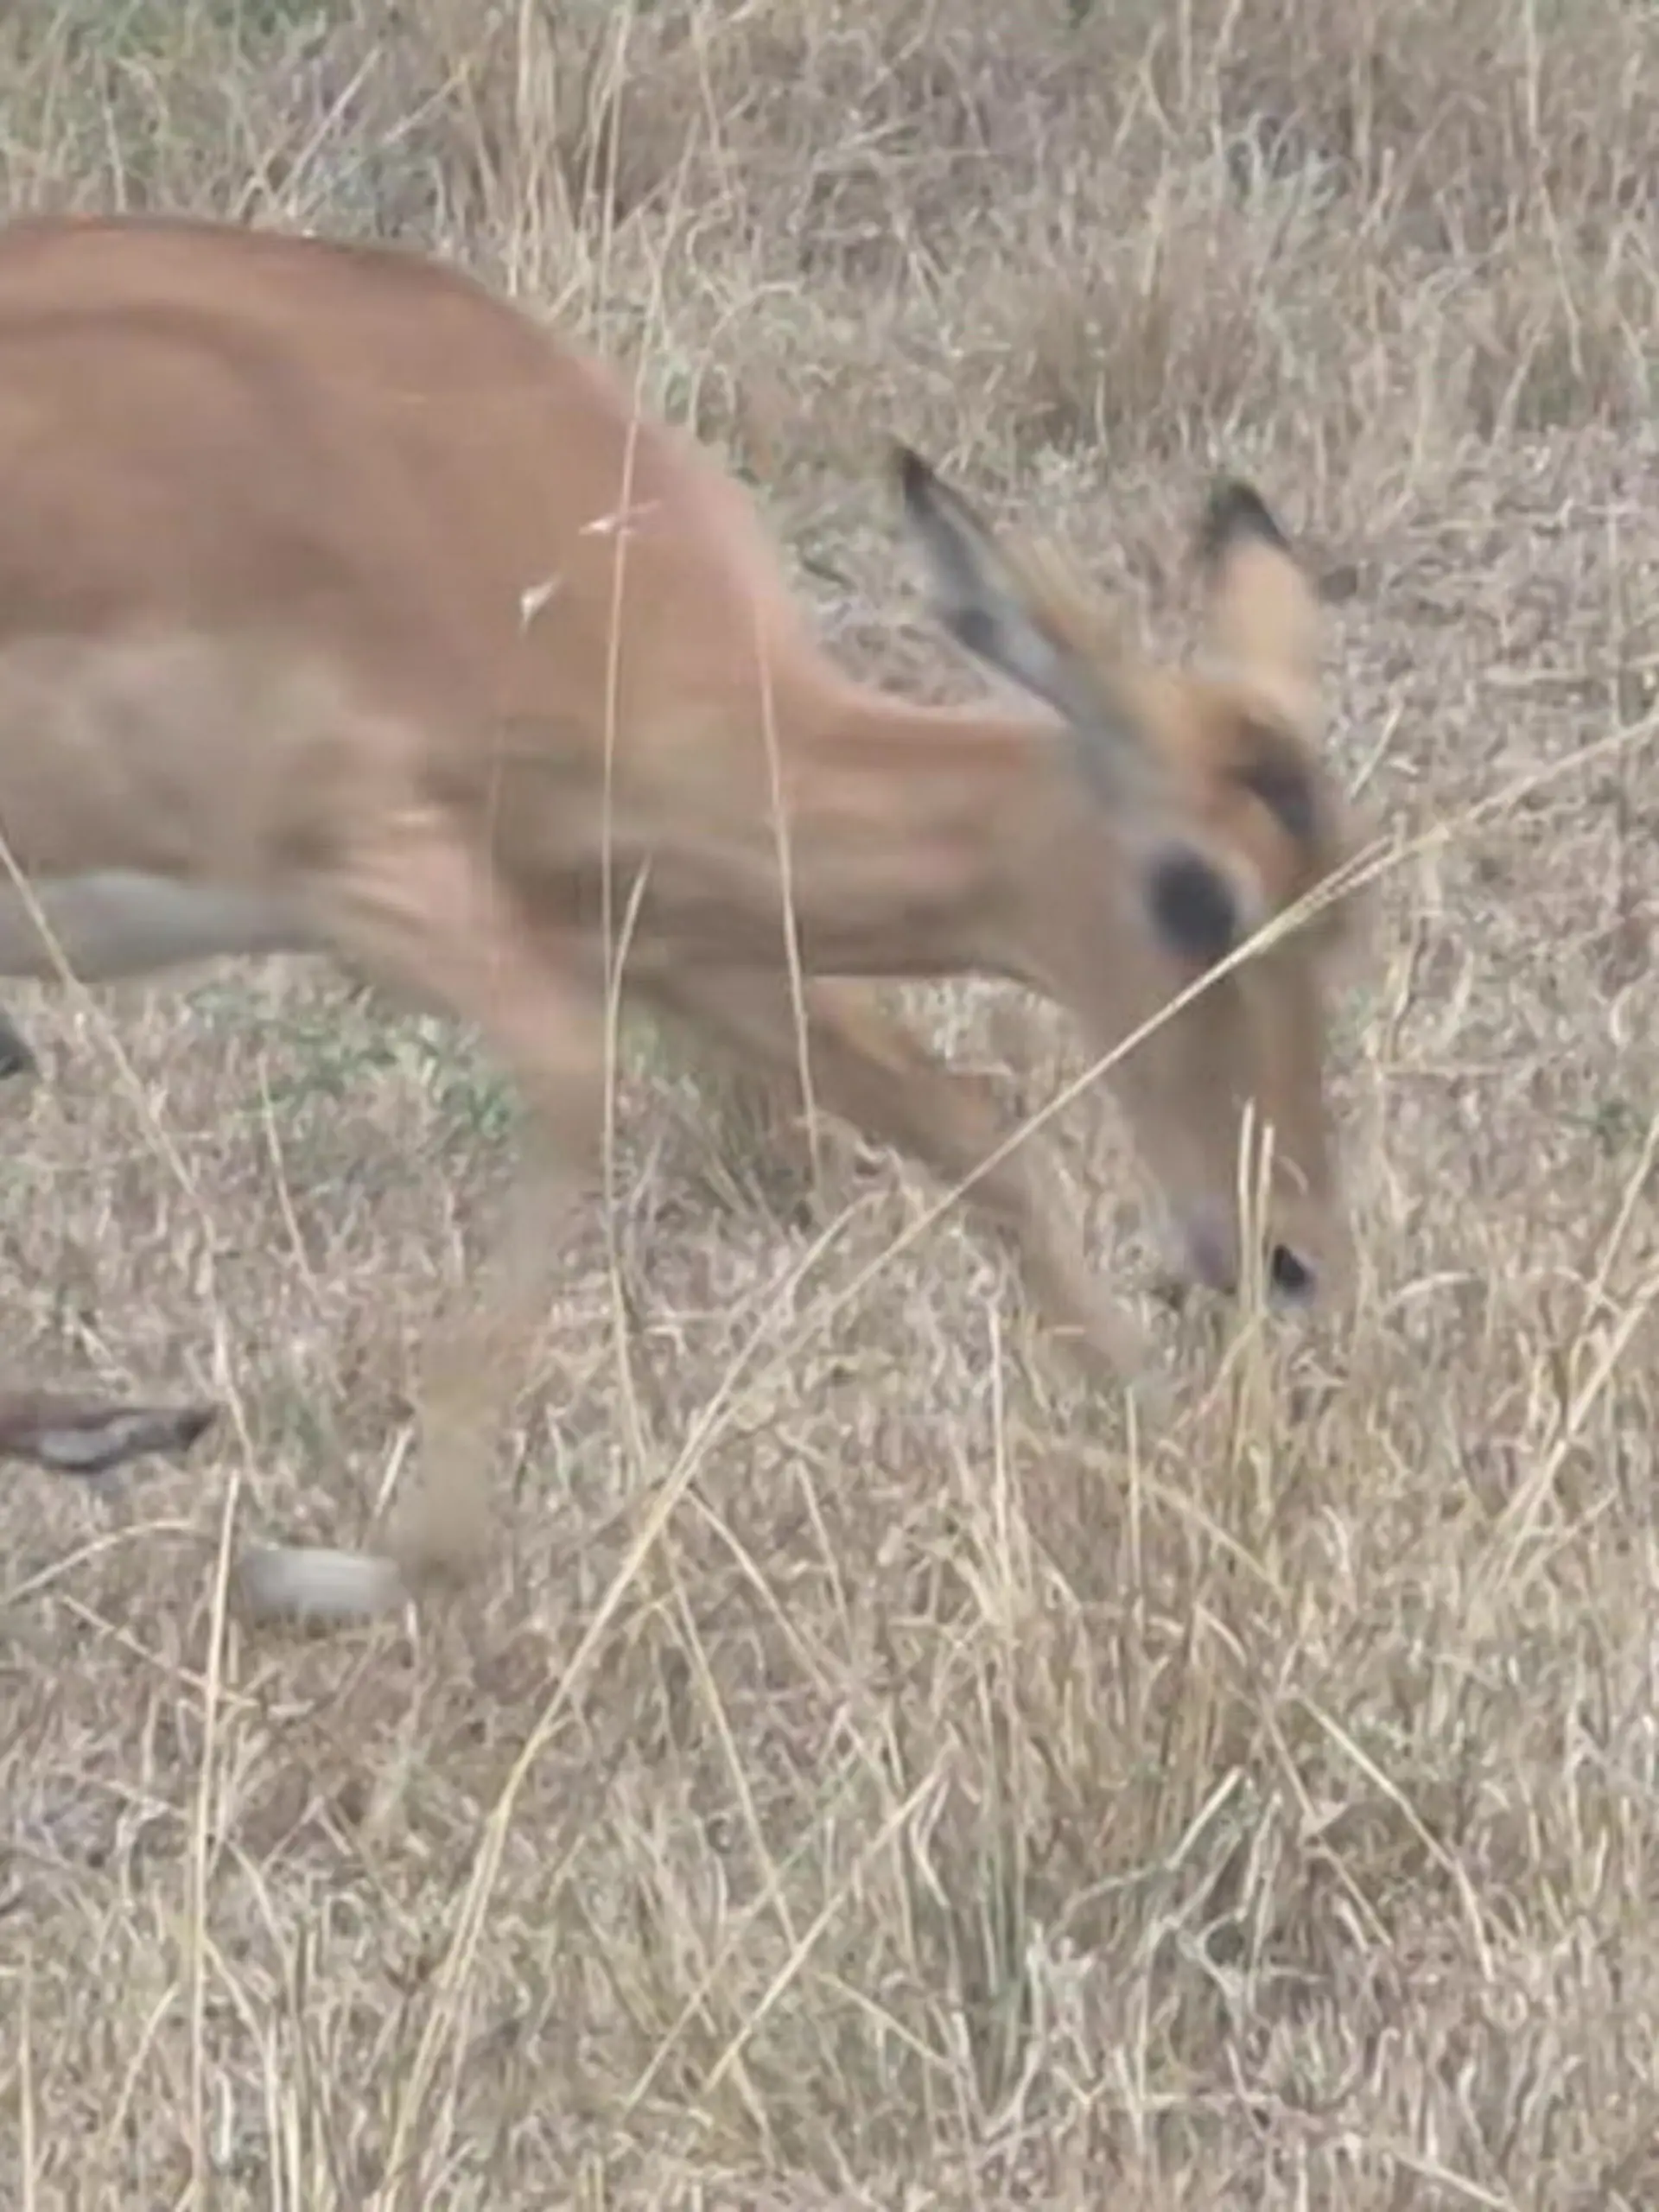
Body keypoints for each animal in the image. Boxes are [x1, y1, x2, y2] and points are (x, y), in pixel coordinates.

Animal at [0, 211, 1361, 1621]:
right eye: (1194, 891)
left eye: (1341, 903)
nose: (1289, 1251)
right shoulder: (372, 876)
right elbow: (573, 1083)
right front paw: (335, 1572)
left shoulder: (664, 934)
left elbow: (966, 1123)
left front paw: (1186, 1474)